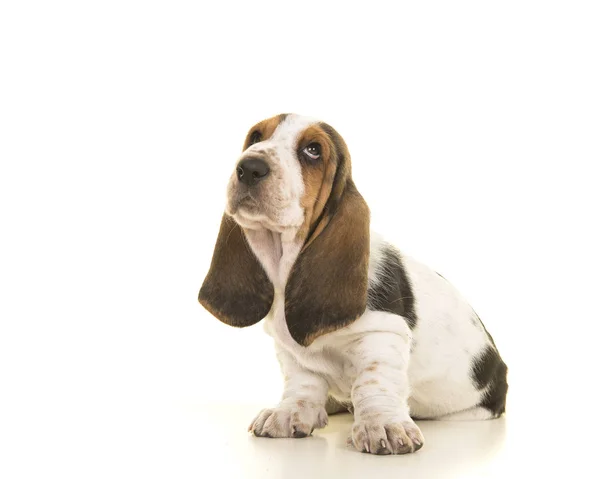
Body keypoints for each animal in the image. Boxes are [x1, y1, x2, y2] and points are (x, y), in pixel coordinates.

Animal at [199, 113, 508, 458]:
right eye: (255, 137)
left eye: (313, 150)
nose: (249, 167)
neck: (285, 262)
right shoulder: (288, 348)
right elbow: (302, 381)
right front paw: (290, 412)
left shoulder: (382, 335)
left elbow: (372, 382)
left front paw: (382, 425)